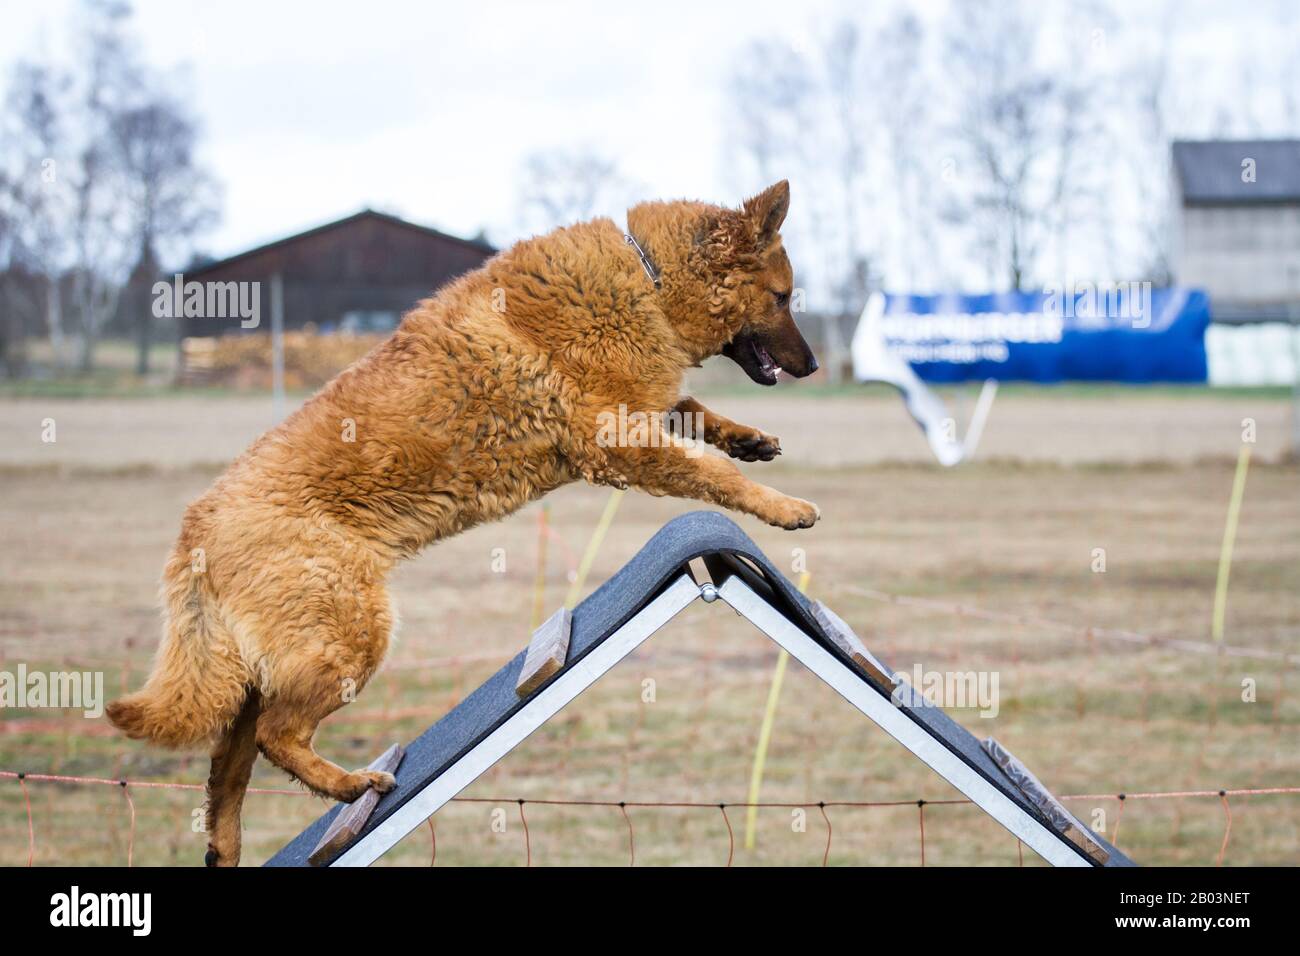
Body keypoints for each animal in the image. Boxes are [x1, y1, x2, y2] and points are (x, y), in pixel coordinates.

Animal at [111, 179, 821, 868]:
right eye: (783, 296)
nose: (814, 368)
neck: (647, 276)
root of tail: (195, 530)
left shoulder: (635, 416)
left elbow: (693, 410)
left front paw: (749, 439)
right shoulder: (613, 442)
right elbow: (713, 472)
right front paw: (784, 506)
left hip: (263, 673)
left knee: (228, 768)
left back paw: (227, 846)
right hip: (348, 637)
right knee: (274, 738)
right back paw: (351, 786)